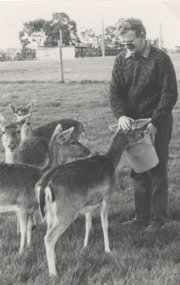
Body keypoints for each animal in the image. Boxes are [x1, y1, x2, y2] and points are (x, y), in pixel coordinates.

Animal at [0, 123, 90, 252]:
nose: (88, 150)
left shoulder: (30, 208)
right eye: (73, 142)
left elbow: (29, 228)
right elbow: (23, 231)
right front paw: (21, 251)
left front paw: (29, 246)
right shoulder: (22, 204)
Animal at [37, 127, 145, 276]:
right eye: (133, 129)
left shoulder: (89, 204)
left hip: (51, 213)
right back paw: (53, 273)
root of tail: (47, 184)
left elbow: (88, 225)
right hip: (66, 212)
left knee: (48, 233)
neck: (112, 163)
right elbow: (104, 224)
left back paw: (55, 260)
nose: (144, 132)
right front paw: (108, 250)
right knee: (48, 238)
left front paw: (85, 246)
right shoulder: (107, 196)